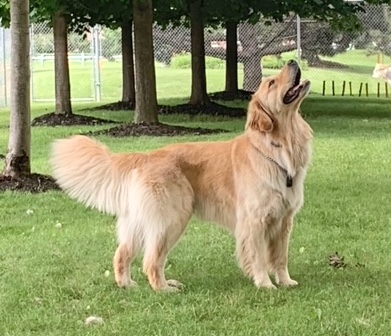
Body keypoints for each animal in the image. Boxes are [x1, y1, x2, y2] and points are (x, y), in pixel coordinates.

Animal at [50, 59, 312, 292]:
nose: (292, 61)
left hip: (141, 221)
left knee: (122, 254)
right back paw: (164, 288)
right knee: (151, 261)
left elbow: (280, 257)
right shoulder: (254, 221)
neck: (276, 147)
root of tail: (146, 156)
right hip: (171, 218)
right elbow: (258, 258)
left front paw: (285, 281)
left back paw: (129, 284)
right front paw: (265, 284)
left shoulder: (284, 221)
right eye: (271, 83)